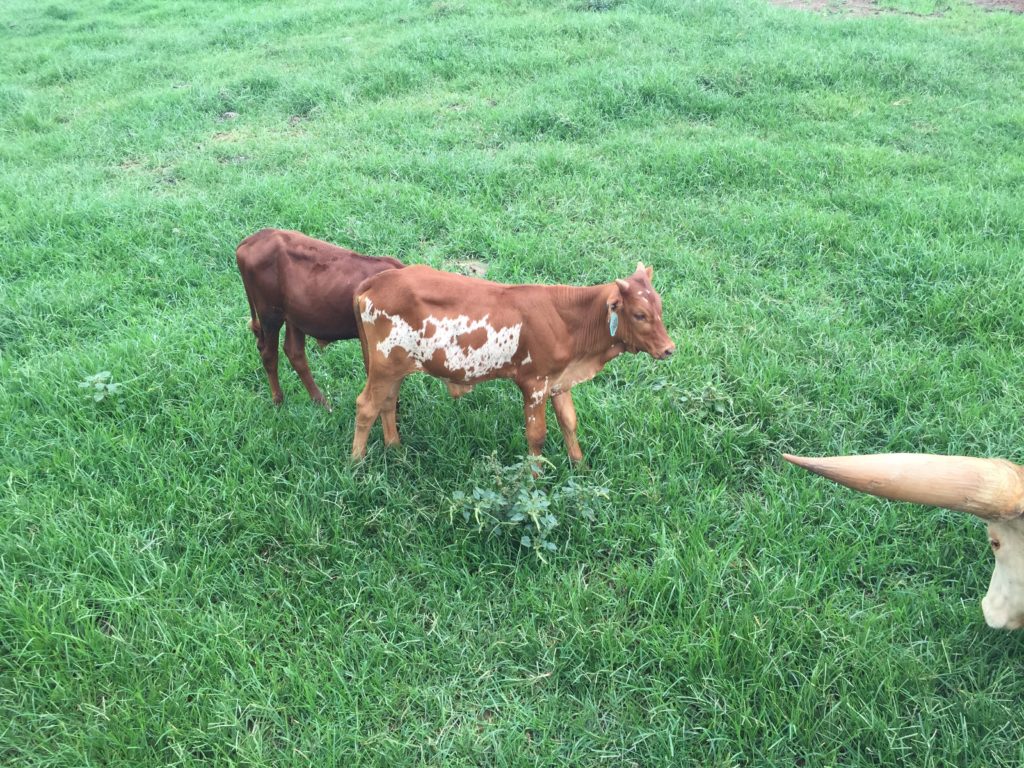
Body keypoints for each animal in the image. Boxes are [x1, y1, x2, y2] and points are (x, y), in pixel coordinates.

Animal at [236, 227, 403, 411]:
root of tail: (254, 238)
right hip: (270, 314)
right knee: (269, 354)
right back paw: (278, 400)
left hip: (294, 316)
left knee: (294, 352)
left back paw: (320, 401)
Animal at [348, 264, 675, 460]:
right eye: (640, 314)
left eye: (659, 307)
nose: (669, 349)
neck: (568, 320)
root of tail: (376, 281)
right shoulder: (535, 384)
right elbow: (537, 436)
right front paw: (535, 480)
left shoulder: (559, 381)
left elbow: (569, 422)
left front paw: (580, 466)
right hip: (384, 366)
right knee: (366, 407)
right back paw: (356, 463)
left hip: (395, 367)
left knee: (387, 403)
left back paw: (395, 448)